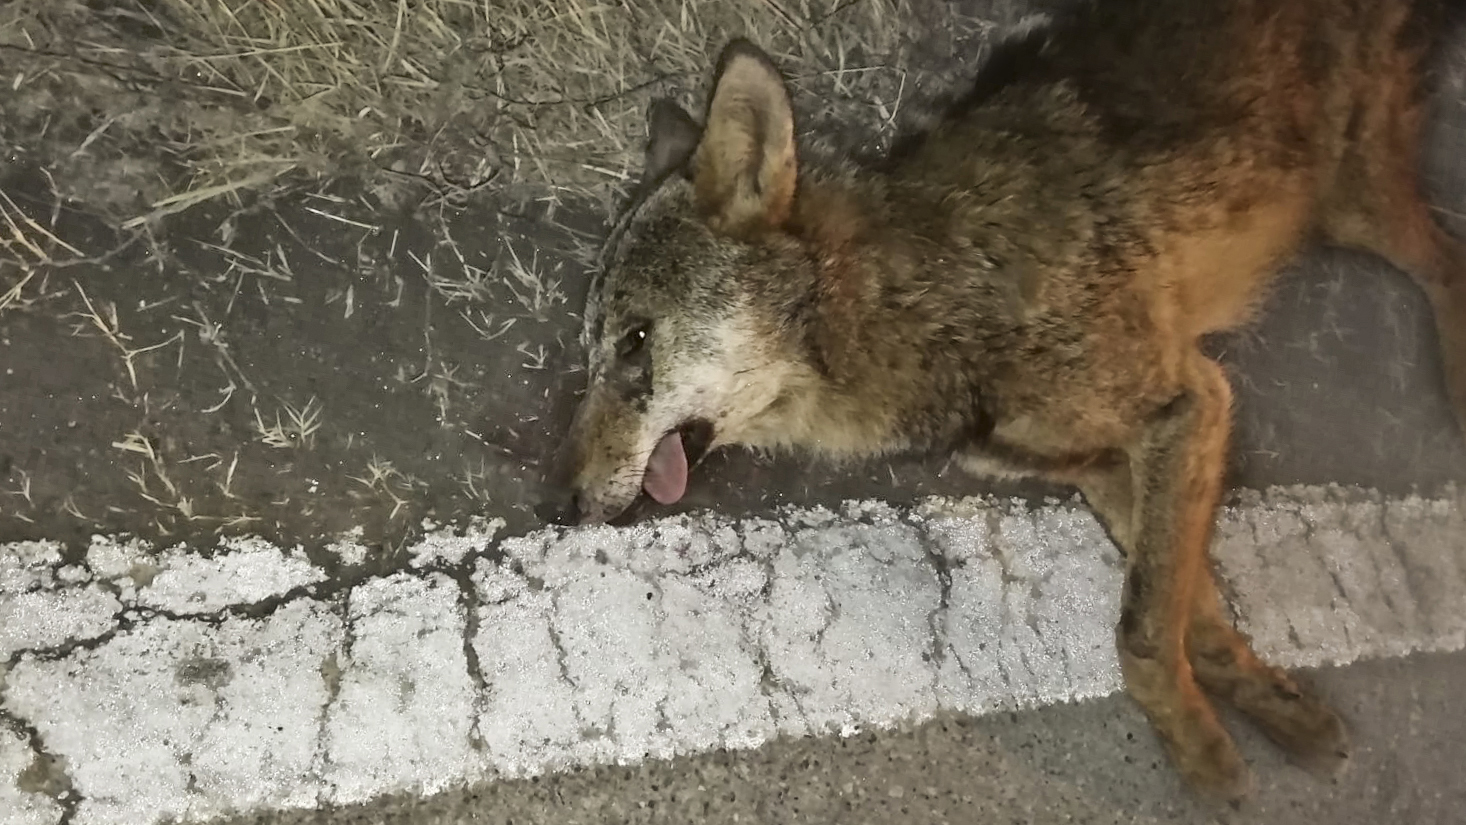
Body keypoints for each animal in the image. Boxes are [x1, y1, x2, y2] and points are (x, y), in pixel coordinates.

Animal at [561, 0, 1466, 802]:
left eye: (634, 342)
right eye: (591, 352)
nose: (565, 505)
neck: (923, 297)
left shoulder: (1188, 403)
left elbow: (1141, 633)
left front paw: (1207, 763)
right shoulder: (1099, 464)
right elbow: (1191, 617)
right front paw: (1277, 714)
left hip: (1354, 207)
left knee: (1445, 258)